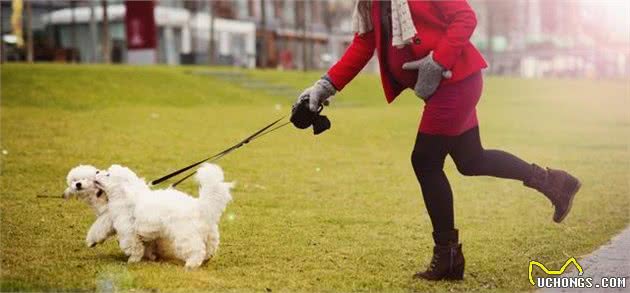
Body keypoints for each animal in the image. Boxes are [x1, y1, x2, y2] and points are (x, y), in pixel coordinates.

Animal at [97, 162, 236, 266]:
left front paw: (132, 261)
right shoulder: (152, 234)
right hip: (210, 235)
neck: (127, 195)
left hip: (185, 235)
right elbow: (149, 246)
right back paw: (206, 259)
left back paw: (191, 265)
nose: (97, 172)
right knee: (210, 249)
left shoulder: (129, 233)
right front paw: (151, 257)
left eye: (108, 174)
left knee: (196, 250)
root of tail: (199, 206)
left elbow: (135, 248)